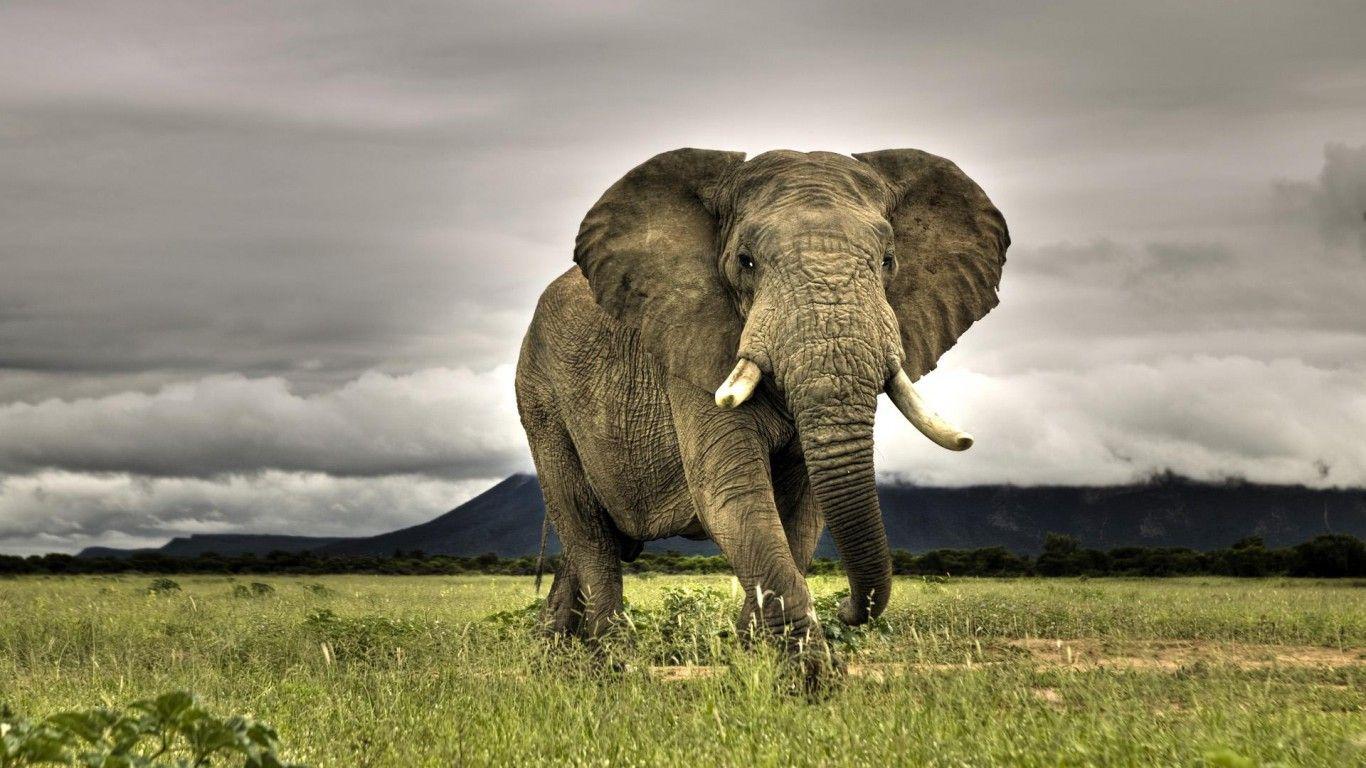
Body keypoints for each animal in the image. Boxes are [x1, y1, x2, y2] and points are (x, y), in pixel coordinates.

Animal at [515, 148, 1008, 676]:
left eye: (888, 261)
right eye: (745, 262)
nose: (846, 608)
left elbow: (802, 512)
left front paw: (755, 658)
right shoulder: (692, 349)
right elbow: (733, 495)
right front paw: (809, 679)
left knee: (586, 544)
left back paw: (555, 653)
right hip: (540, 398)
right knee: (589, 534)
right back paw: (612, 665)